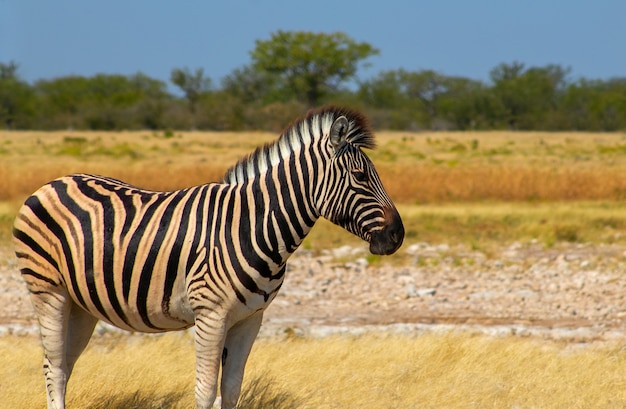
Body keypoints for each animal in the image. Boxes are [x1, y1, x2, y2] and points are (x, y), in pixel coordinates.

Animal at [14, 106, 404, 408]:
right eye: (360, 176)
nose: (397, 235)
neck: (253, 226)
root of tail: (54, 182)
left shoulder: (251, 319)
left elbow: (231, 391)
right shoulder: (211, 315)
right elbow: (205, 393)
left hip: (81, 304)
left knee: (64, 364)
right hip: (48, 289)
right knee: (54, 366)